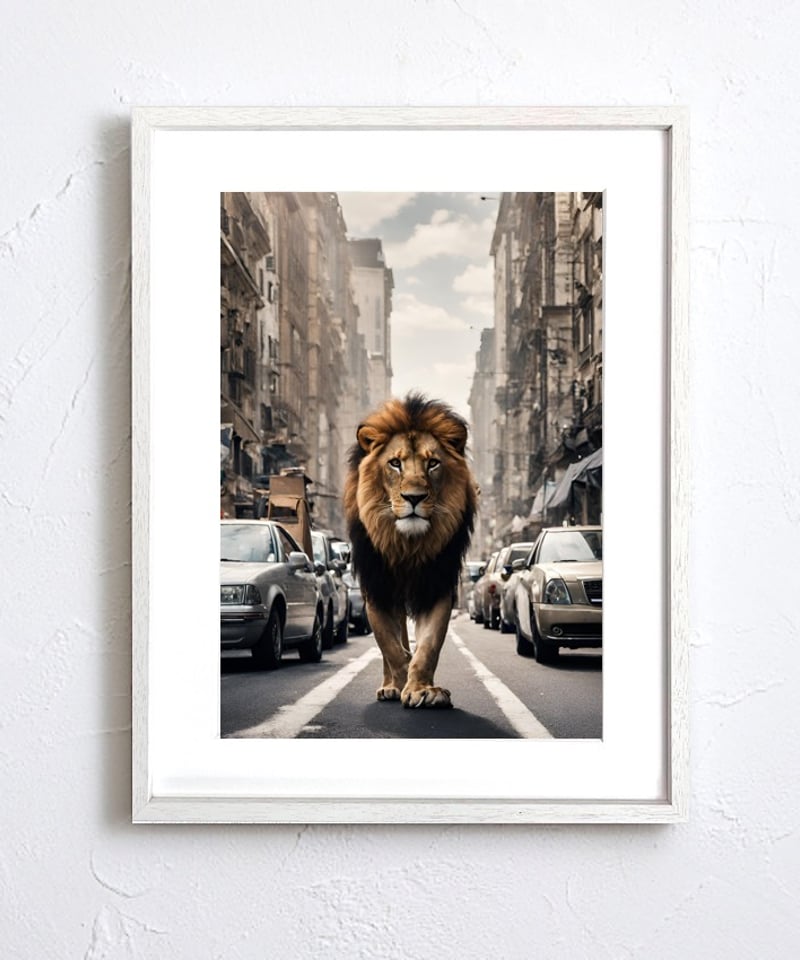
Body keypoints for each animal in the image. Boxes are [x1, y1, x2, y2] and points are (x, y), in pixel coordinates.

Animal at [343, 393, 478, 709]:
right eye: (395, 463)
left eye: (433, 464)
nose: (414, 498)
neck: (408, 546)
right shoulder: (377, 587)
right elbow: (391, 648)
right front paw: (401, 683)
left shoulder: (436, 584)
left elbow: (428, 646)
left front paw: (422, 690)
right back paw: (390, 686)